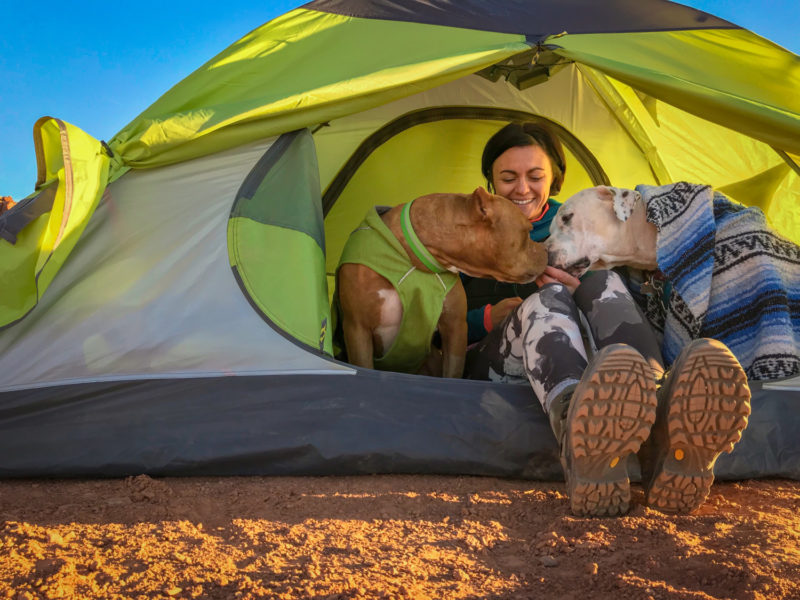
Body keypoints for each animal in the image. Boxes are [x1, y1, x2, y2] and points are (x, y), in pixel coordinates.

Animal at [334, 188, 548, 378]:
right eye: (528, 231)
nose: (546, 248)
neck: (414, 258)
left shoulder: (455, 327)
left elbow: (452, 373)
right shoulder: (357, 328)